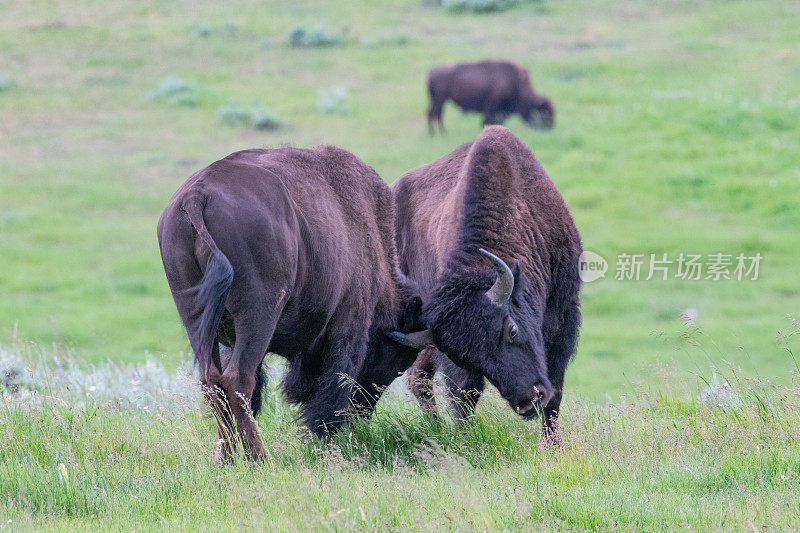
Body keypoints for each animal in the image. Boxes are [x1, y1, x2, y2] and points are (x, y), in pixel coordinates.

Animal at [159, 147, 428, 462]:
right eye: (394, 359)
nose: (361, 414)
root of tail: (197, 195)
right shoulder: (349, 325)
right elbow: (333, 384)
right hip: (258, 315)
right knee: (239, 379)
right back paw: (259, 459)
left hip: (196, 318)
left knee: (213, 383)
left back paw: (227, 458)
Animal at [390, 125, 580, 436]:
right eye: (469, 358)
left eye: (512, 330)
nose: (528, 403)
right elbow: (463, 393)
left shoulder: (565, 315)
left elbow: (556, 392)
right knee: (420, 379)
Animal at [424, 59, 556, 134]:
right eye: (545, 113)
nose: (550, 128)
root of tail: (431, 72)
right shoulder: (491, 108)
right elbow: (487, 120)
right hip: (439, 100)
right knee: (436, 114)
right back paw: (440, 133)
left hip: (438, 100)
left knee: (433, 114)